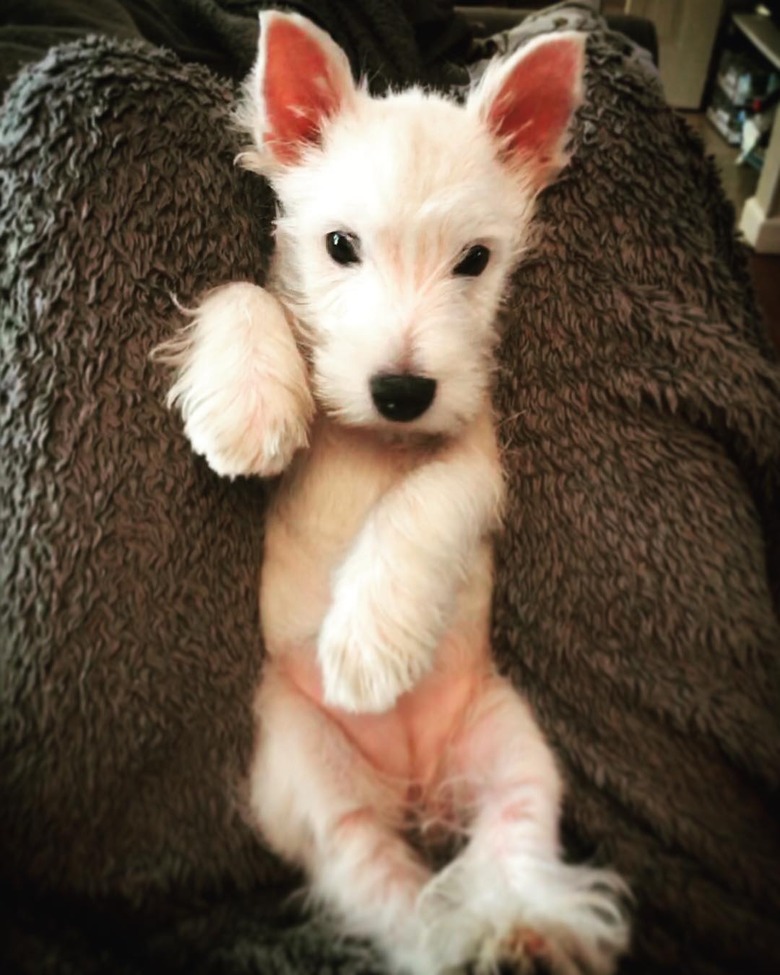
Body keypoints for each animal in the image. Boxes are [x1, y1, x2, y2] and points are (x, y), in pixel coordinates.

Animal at [157, 11, 628, 972]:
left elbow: (423, 502)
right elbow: (247, 292)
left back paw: (526, 926)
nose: (403, 391)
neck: (378, 439)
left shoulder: (478, 461)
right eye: (339, 246)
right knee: (383, 882)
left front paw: (372, 638)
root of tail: (413, 779)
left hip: (512, 745)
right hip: (310, 782)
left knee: (514, 832)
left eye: (475, 260)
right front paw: (250, 402)